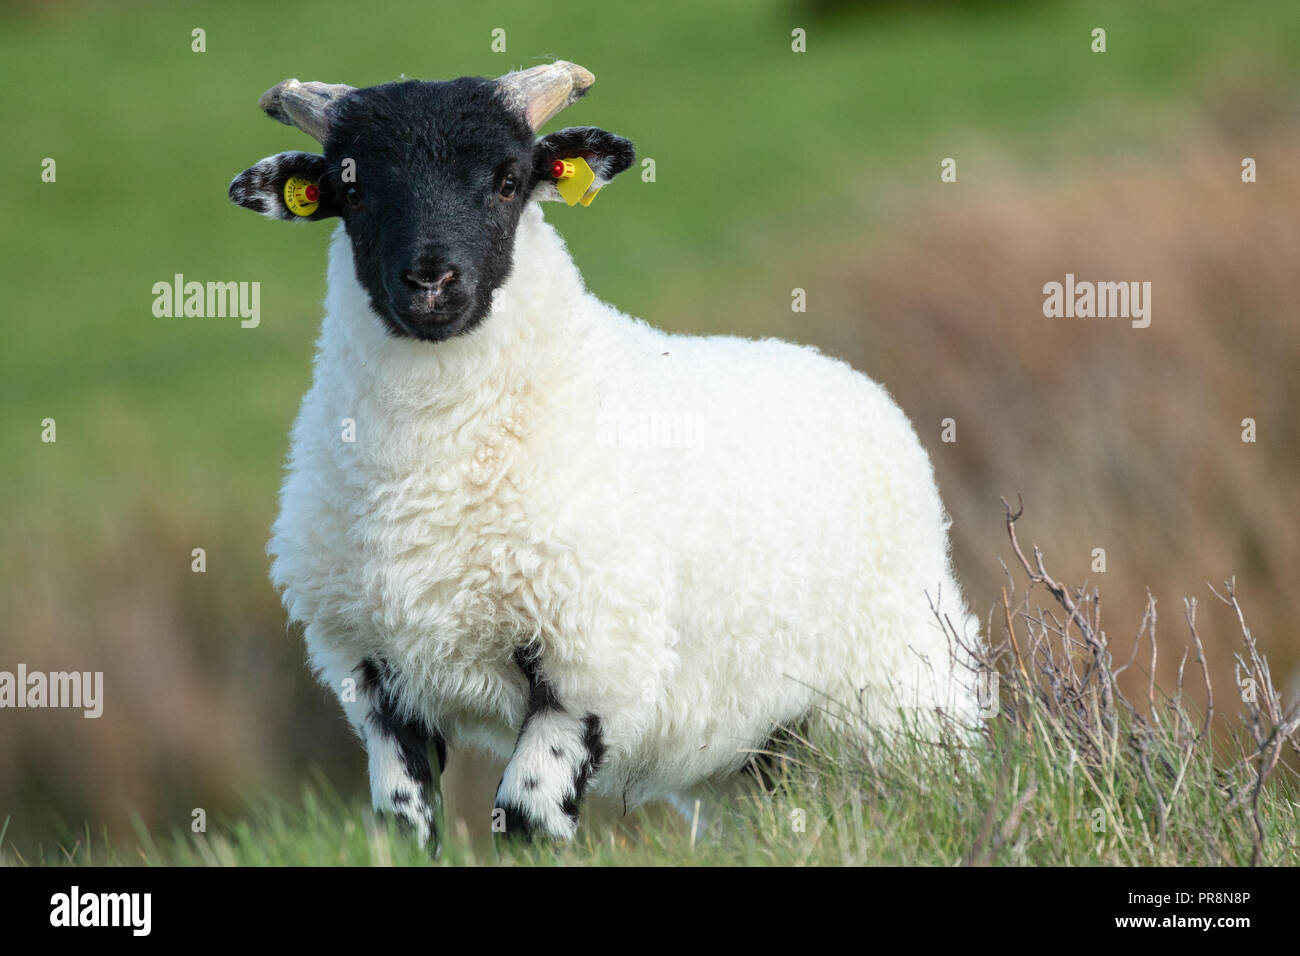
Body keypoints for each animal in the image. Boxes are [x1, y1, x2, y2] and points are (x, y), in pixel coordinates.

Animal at [228, 63, 977, 848]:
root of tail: (842, 372)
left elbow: (526, 818)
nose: (431, 282)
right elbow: (403, 826)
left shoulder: (590, 660)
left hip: (902, 689)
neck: (431, 463)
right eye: (352, 191)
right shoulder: (372, 673)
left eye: (508, 181)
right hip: (756, 748)